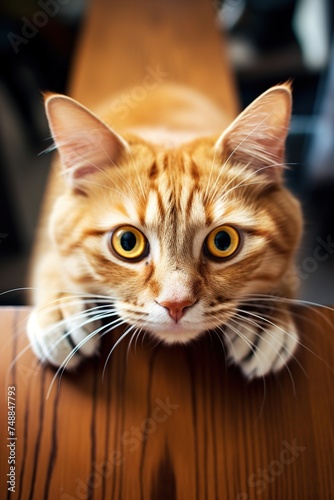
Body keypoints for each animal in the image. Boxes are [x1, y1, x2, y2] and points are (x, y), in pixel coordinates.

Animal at [26, 83, 302, 378]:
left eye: (223, 241)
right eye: (127, 242)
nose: (176, 304)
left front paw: (265, 321)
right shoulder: (47, 246)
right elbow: (54, 266)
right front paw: (59, 310)